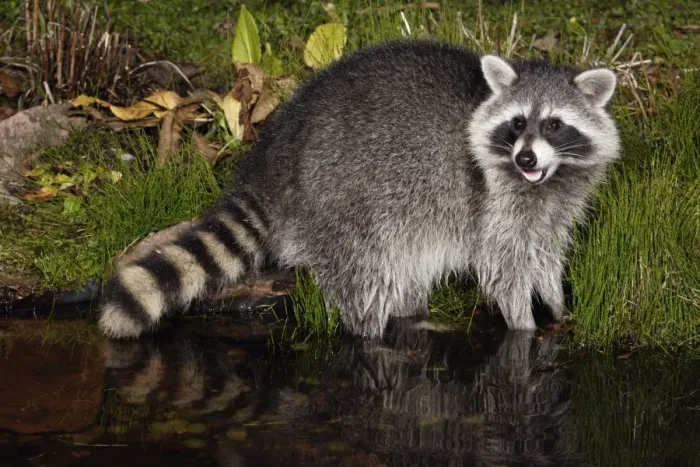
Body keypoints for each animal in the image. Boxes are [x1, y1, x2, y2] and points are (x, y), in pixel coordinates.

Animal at [98, 40, 620, 339]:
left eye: (554, 124)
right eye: (516, 124)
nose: (525, 158)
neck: (547, 180)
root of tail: (275, 157)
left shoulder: (555, 203)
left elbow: (544, 251)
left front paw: (555, 302)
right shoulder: (494, 204)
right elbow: (503, 267)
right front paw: (523, 325)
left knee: (407, 272)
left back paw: (414, 316)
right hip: (345, 205)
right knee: (368, 282)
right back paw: (373, 335)